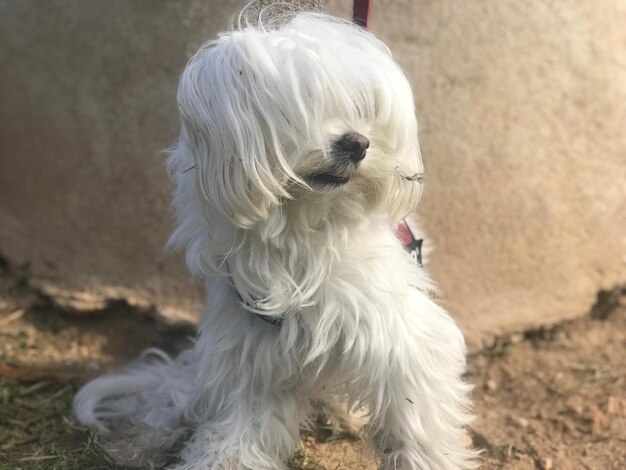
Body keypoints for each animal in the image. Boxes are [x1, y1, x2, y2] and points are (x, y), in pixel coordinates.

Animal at [73, 7, 472, 470]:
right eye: (300, 109)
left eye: (362, 108)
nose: (357, 143)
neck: (303, 231)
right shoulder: (251, 353)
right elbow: (240, 426)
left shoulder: (400, 339)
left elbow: (416, 420)